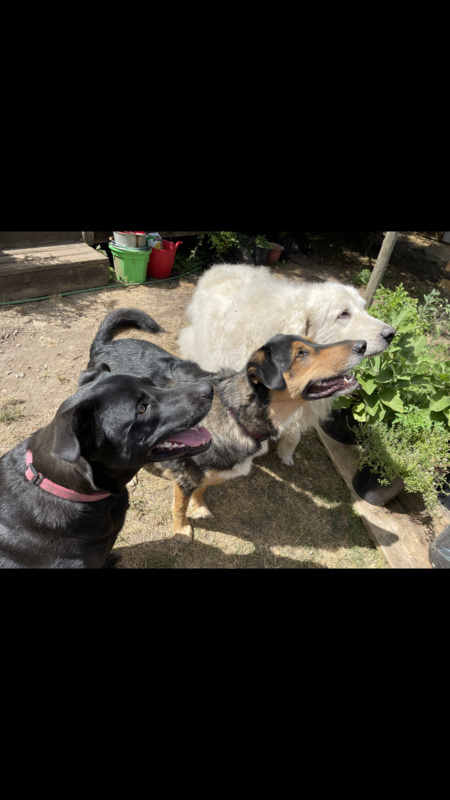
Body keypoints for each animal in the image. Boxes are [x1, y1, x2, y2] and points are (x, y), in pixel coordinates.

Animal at [89, 310, 368, 540]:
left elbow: (202, 490)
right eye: (301, 354)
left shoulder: (208, 475)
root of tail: (104, 346)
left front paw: (199, 507)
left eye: (313, 342)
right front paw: (181, 530)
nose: (362, 345)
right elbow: (179, 507)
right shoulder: (185, 477)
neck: (235, 414)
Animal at [178, 264, 396, 462]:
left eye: (363, 308)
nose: (391, 334)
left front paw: (286, 455)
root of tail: (218, 267)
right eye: (343, 314)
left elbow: (294, 434)